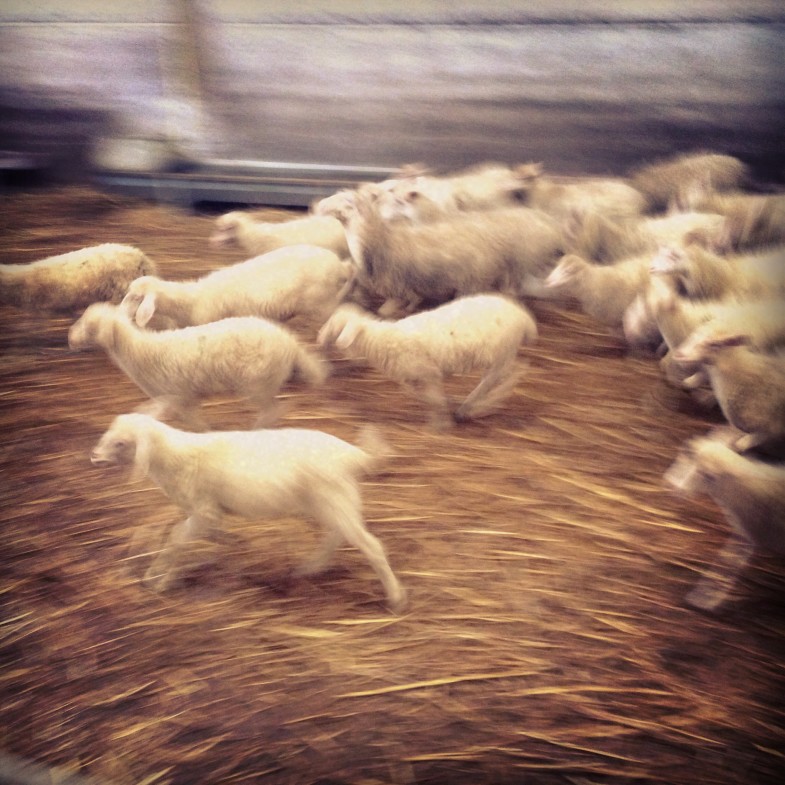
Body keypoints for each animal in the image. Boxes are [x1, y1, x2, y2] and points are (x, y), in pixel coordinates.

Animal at [68, 303, 327, 429]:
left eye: (88, 325)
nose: (70, 339)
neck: (142, 351)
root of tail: (290, 343)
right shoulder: (183, 397)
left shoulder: (179, 396)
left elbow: (194, 423)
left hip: (258, 383)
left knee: (272, 410)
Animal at [90, 412, 406, 611]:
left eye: (121, 442)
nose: (94, 457)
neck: (172, 457)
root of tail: (353, 454)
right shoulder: (207, 513)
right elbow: (188, 537)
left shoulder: (204, 509)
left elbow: (177, 538)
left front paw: (157, 578)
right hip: (331, 502)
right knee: (337, 535)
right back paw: (311, 567)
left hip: (334, 499)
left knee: (370, 545)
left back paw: (395, 598)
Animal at [318, 294, 537, 429]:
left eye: (334, 326)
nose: (319, 339)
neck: (381, 341)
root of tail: (523, 317)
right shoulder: (414, 376)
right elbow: (418, 394)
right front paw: (443, 408)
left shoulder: (428, 372)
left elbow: (433, 399)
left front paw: (440, 425)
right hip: (503, 355)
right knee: (517, 369)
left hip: (501, 353)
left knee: (498, 377)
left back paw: (472, 407)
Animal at [664, 433, 785, 610]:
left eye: (705, 474)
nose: (673, 487)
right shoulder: (747, 532)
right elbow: (728, 559)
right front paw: (705, 596)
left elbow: (729, 561)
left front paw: (703, 598)